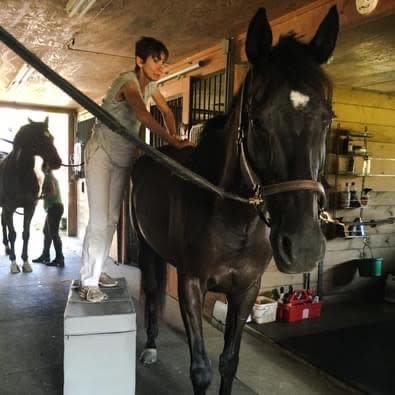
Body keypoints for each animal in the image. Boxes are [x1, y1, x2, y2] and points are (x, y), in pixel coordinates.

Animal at [0, 117, 61, 272]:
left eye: (52, 137)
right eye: (40, 138)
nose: (57, 162)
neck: (20, 173)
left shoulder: (29, 208)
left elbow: (26, 234)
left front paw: (25, 262)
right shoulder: (10, 208)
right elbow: (13, 234)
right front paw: (14, 264)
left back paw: (7, 249)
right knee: (4, 225)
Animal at [133, 6, 340, 395]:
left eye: (326, 118)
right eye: (258, 120)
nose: (303, 247)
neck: (234, 219)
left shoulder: (246, 289)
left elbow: (229, 361)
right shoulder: (192, 284)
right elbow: (201, 369)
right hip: (147, 247)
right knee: (151, 293)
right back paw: (150, 347)